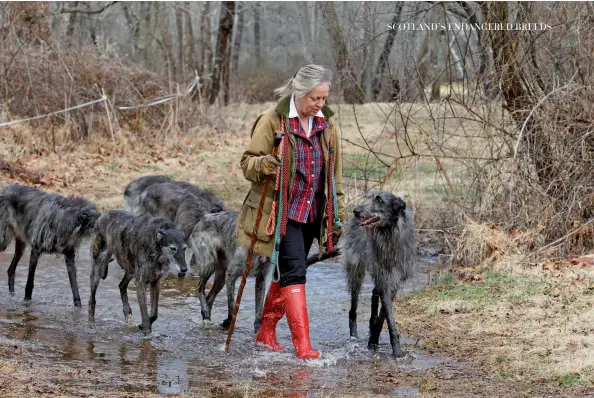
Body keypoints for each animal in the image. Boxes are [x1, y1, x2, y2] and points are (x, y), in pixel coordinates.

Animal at [336, 190, 414, 358]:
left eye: (379, 200)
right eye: (369, 197)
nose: (356, 211)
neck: (388, 233)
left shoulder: (395, 279)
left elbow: (384, 312)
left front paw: (375, 337)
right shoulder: (383, 277)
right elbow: (388, 315)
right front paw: (395, 349)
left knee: (374, 293)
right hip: (356, 269)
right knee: (353, 308)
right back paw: (354, 336)